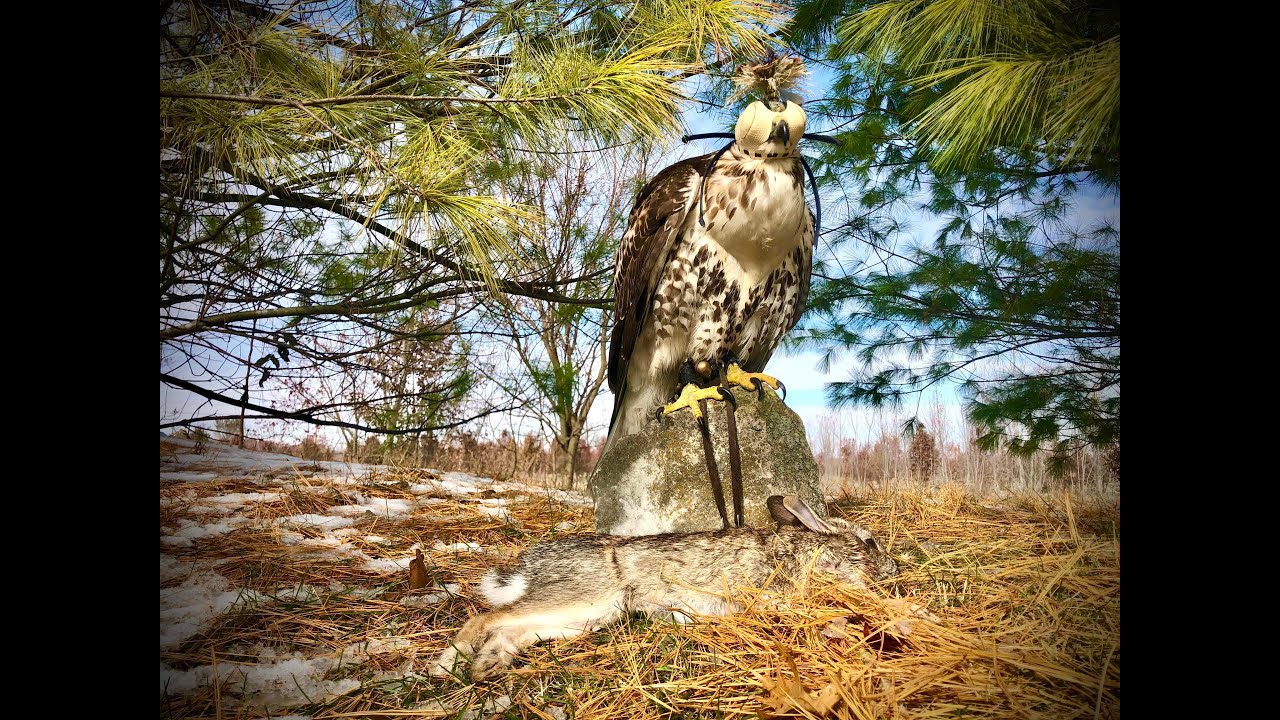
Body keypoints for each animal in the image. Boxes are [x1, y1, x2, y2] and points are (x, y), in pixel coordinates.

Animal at [432, 495, 897, 681]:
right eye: (871, 541)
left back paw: (487, 666)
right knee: (486, 617)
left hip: (588, 615)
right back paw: (445, 666)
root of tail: (531, 566)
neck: (813, 548)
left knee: (511, 630)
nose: (892, 567)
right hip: (583, 597)